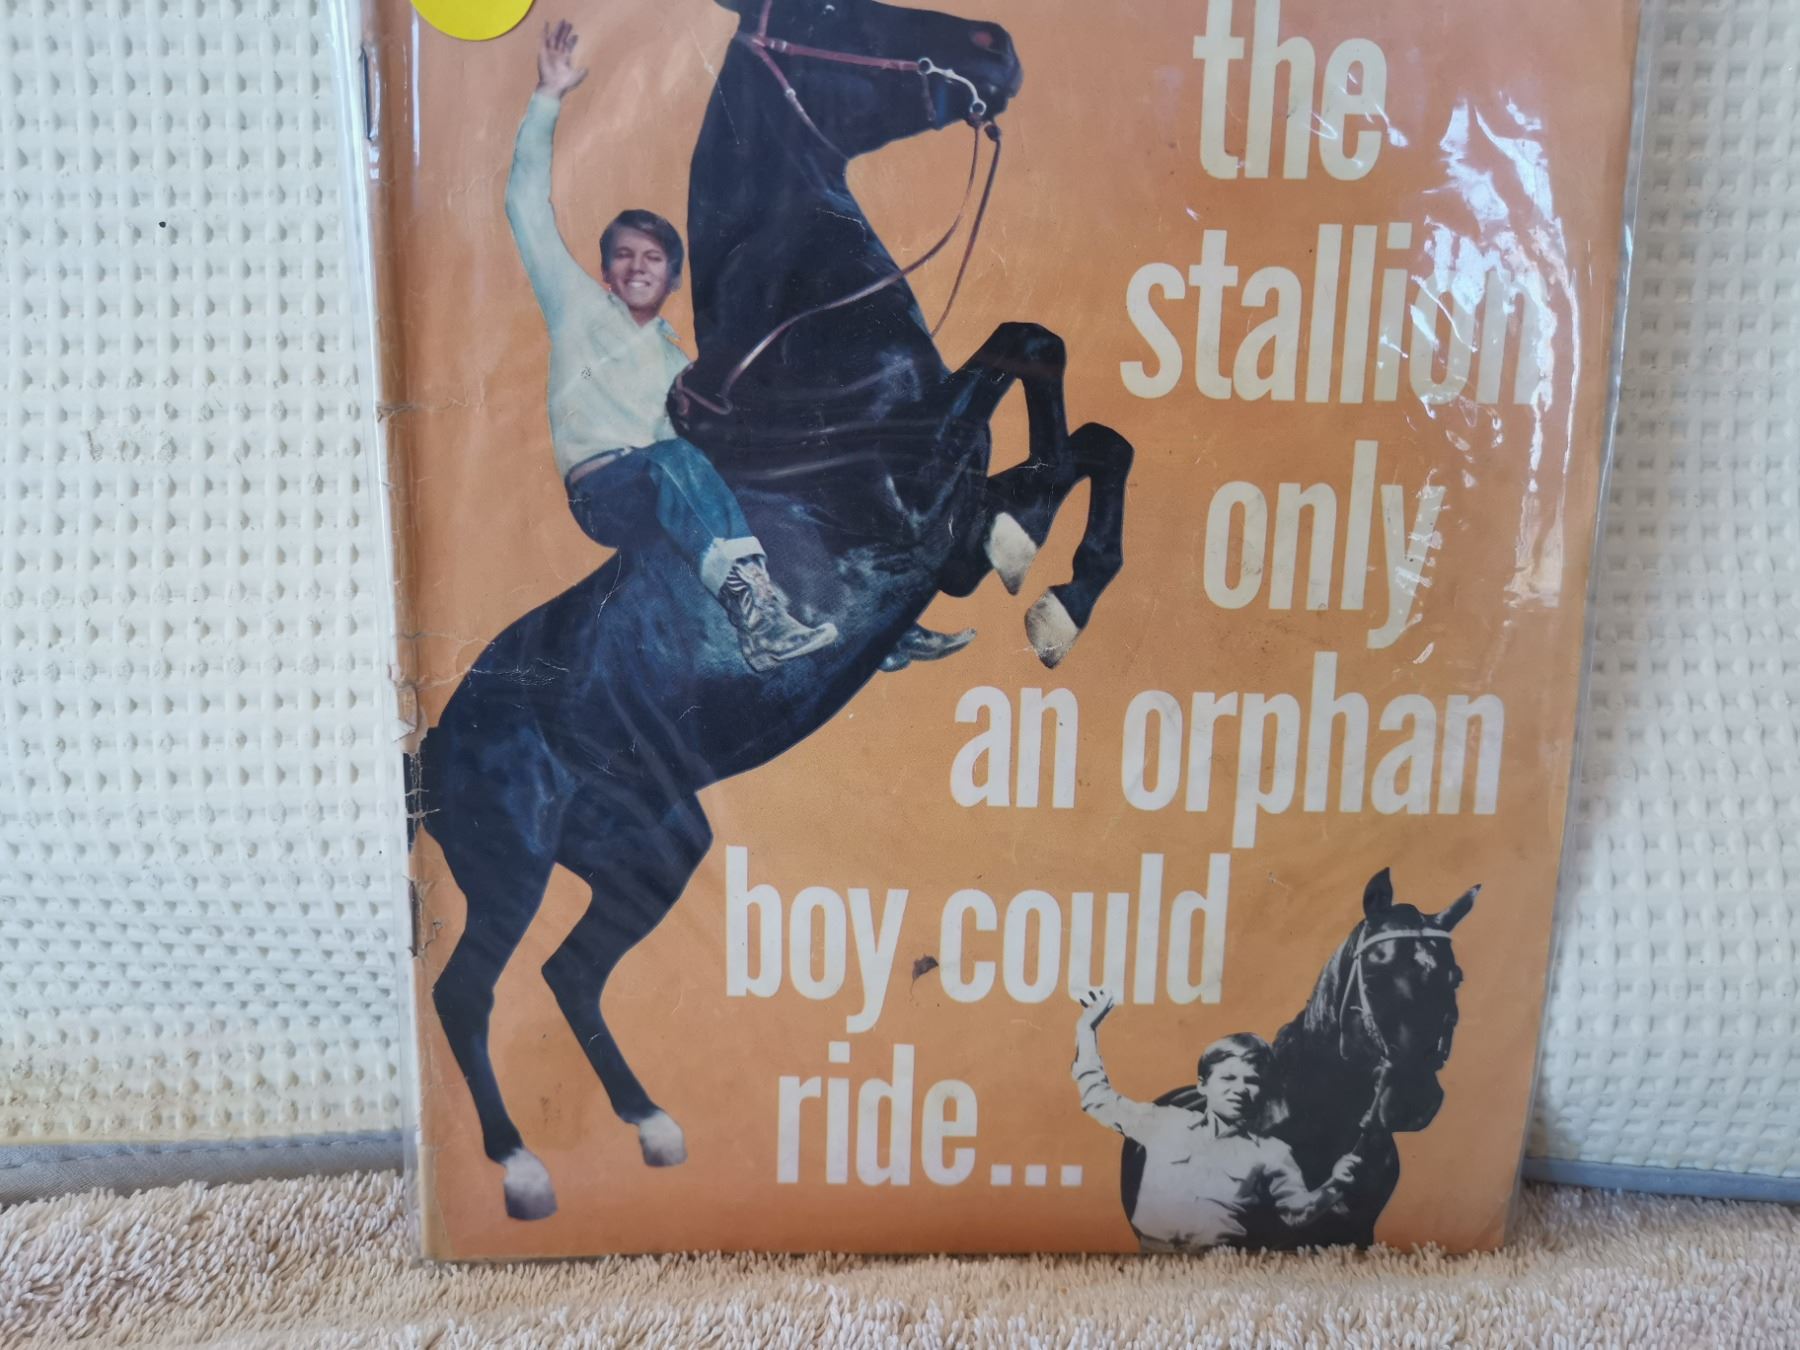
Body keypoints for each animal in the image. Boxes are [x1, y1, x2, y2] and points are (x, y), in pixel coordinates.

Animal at [417, 0, 1134, 1222]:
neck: (806, 357)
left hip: (656, 848)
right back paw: (522, 1170)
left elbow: (1087, 426)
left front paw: (1058, 598)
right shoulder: (917, 494)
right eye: (838, 12)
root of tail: (431, 740)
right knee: (469, 991)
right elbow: (1026, 353)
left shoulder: (937, 529)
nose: (997, 45)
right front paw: (1031, 561)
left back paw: (655, 1129)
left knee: (570, 973)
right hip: (510, 864)